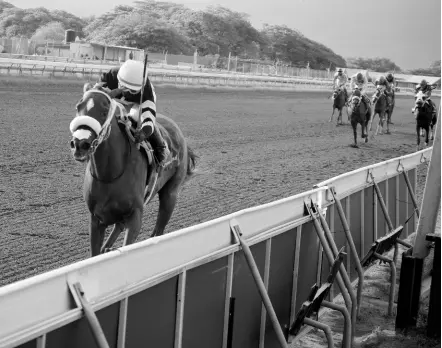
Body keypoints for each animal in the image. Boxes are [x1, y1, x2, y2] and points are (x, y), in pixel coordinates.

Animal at [69, 85, 197, 256]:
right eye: (78, 107)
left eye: (104, 111)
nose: (79, 144)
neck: (110, 175)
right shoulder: (96, 219)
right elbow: (95, 253)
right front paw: (104, 249)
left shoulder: (135, 216)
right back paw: (107, 248)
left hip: (170, 194)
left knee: (158, 230)